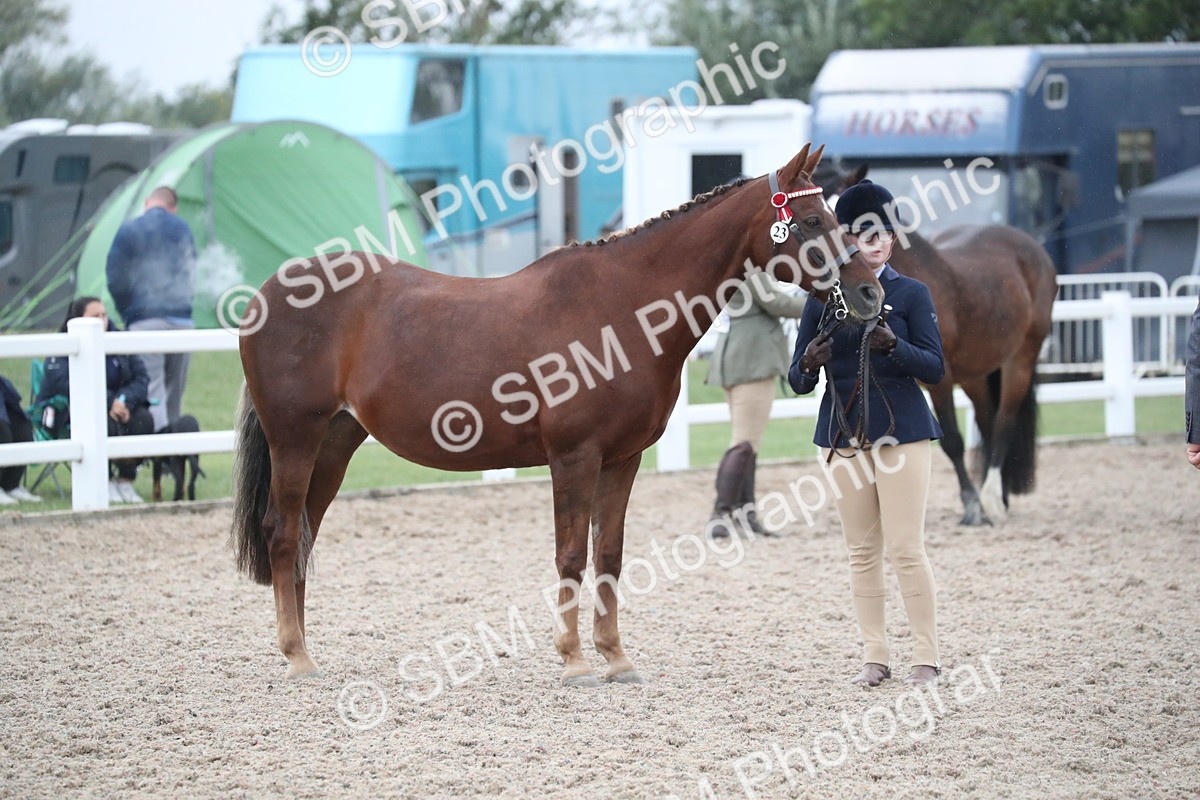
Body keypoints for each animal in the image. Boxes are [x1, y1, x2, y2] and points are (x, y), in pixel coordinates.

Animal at [230, 144, 885, 683]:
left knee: (305, 535)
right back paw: (297, 656)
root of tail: (268, 293)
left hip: (336, 443)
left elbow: (609, 554)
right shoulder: (574, 456)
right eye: (811, 221)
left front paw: (616, 657)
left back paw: (303, 648)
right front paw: (572, 661)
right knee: (283, 533)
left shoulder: (623, 460)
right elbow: (570, 553)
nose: (870, 292)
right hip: (296, 440)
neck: (623, 309)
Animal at [819, 164, 1058, 525]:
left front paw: (972, 506)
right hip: (975, 374)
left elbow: (953, 441)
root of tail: (1033, 248)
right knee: (988, 423)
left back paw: (991, 501)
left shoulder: (939, 380)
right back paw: (999, 498)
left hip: (1021, 358)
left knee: (1003, 423)